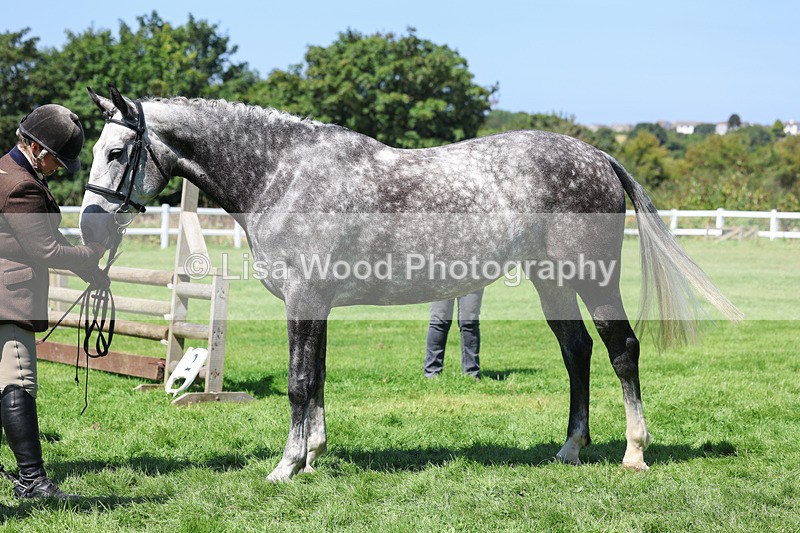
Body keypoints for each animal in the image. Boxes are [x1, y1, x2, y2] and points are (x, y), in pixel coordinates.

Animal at [79, 86, 741, 482]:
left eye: (116, 152)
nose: (88, 226)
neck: (282, 174)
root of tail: (599, 156)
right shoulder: (317, 304)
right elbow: (317, 379)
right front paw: (314, 458)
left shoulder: (303, 299)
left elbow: (298, 384)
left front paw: (286, 467)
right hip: (551, 281)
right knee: (576, 352)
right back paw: (570, 448)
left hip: (592, 278)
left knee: (620, 349)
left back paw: (634, 452)